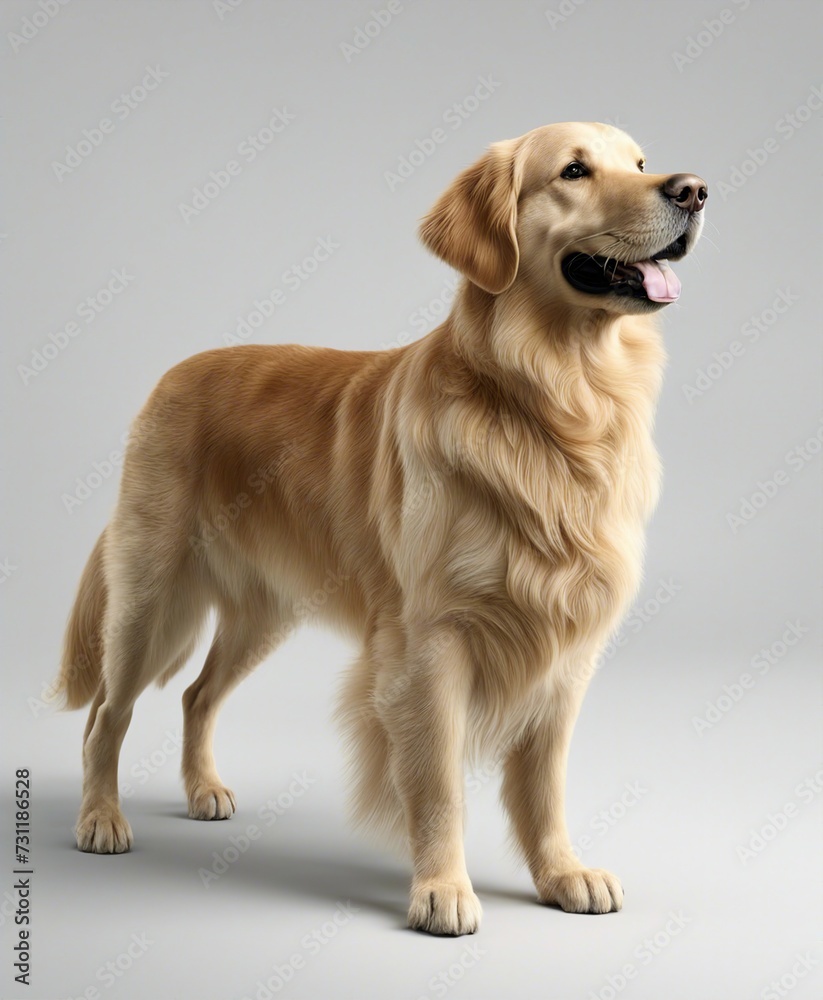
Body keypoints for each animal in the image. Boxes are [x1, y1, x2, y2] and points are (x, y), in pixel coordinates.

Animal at [56, 121, 708, 932]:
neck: (559, 402)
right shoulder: (429, 642)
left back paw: (203, 789)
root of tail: (172, 374)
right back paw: (100, 818)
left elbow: (544, 782)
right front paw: (442, 889)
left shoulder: (565, 643)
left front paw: (561, 873)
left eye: (641, 162)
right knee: (105, 716)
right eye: (574, 171)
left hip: (265, 611)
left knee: (196, 695)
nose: (692, 190)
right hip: (152, 599)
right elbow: (438, 783)